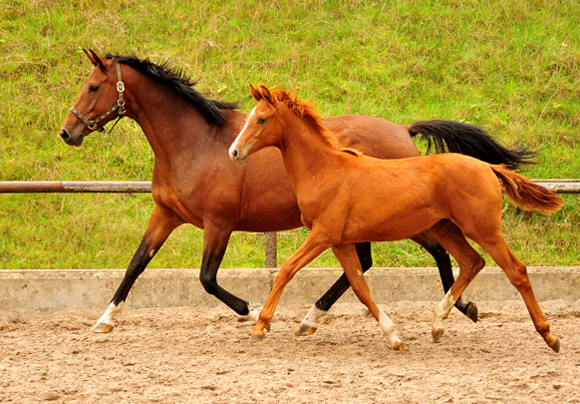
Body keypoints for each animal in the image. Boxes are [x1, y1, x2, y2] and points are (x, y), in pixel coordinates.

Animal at [59, 50, 536, 334]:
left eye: (94, 87)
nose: (67, 132)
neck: (195, 142)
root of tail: (403, 129)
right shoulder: (165, 214)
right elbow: (136, 264)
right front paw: (105, 318)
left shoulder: (219, 223)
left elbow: (208, 278)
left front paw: (252, 311)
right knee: (372, 263)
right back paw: (318, 316)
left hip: (403, 219)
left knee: (432, 254)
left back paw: (458, 309)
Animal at [229, 83, 564, 352]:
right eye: (249, 116)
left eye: (261, 118)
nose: (234, 152)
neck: (325, 170)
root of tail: (487, 167)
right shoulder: (341, 242)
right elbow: (360, 287)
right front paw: (393, 337)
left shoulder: (323, 235)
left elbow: (285, 271)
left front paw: (260, 325)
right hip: (445, 228)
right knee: (472, 262)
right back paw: (438, 324)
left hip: (483, 229)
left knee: (516, 271)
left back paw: (549, 336)